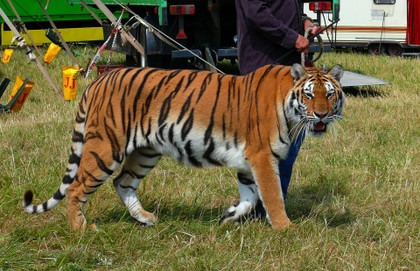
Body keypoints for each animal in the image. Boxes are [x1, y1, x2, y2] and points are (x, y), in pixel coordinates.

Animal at [22, 63, 344, 232]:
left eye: (329, 95)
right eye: (309, 95)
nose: (321, 115)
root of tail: (100, 78)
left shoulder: (248, 161)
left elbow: (250, 197)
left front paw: (228, 216)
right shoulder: (262, 156)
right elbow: (273, 195)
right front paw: (285, 228)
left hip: (145, 152)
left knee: (123, 182)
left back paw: (145, 218)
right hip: (106, 147)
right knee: (76, 187)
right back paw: (82, 229)